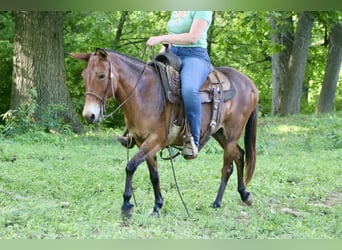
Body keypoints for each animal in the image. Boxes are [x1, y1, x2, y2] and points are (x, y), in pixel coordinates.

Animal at [71, 47, 260, 216]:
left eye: (101, 76)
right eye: (83, 76)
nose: (89, 115)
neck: (144, 93)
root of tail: (251, 85)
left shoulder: (156, 140)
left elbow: (130, 166)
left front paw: (126, 205)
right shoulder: (142, 141)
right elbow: (153, 174)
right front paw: (157, 206)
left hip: (231, 135)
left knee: (227, 167)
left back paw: (217, 203)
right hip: (220, 133)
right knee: (240, 155)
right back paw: (245, 195)